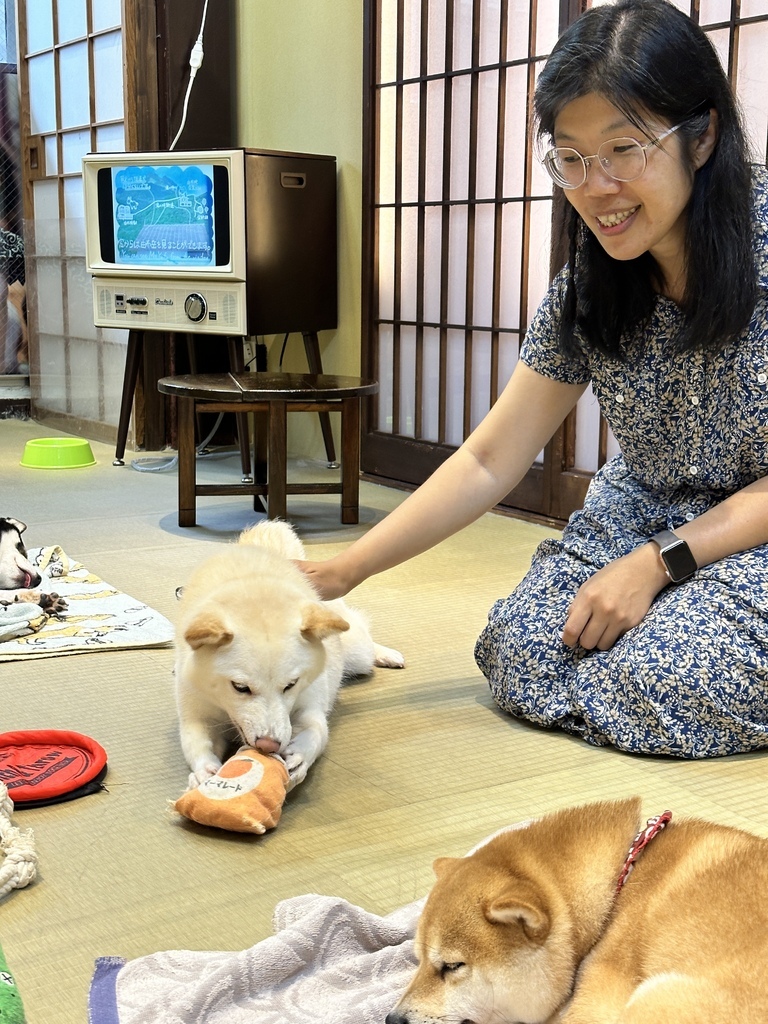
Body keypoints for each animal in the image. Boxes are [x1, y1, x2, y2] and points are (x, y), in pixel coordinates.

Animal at [174, 520, 403, 790]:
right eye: (240, 687)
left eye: (291, 685)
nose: (268, 745)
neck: (256, 585)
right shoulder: (197, 713)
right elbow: (197, 742)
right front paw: (204, 772)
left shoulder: (310, 702)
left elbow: (316, 730)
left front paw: (300, 756)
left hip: (357, 652)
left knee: (363, 632)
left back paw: (387, 654)